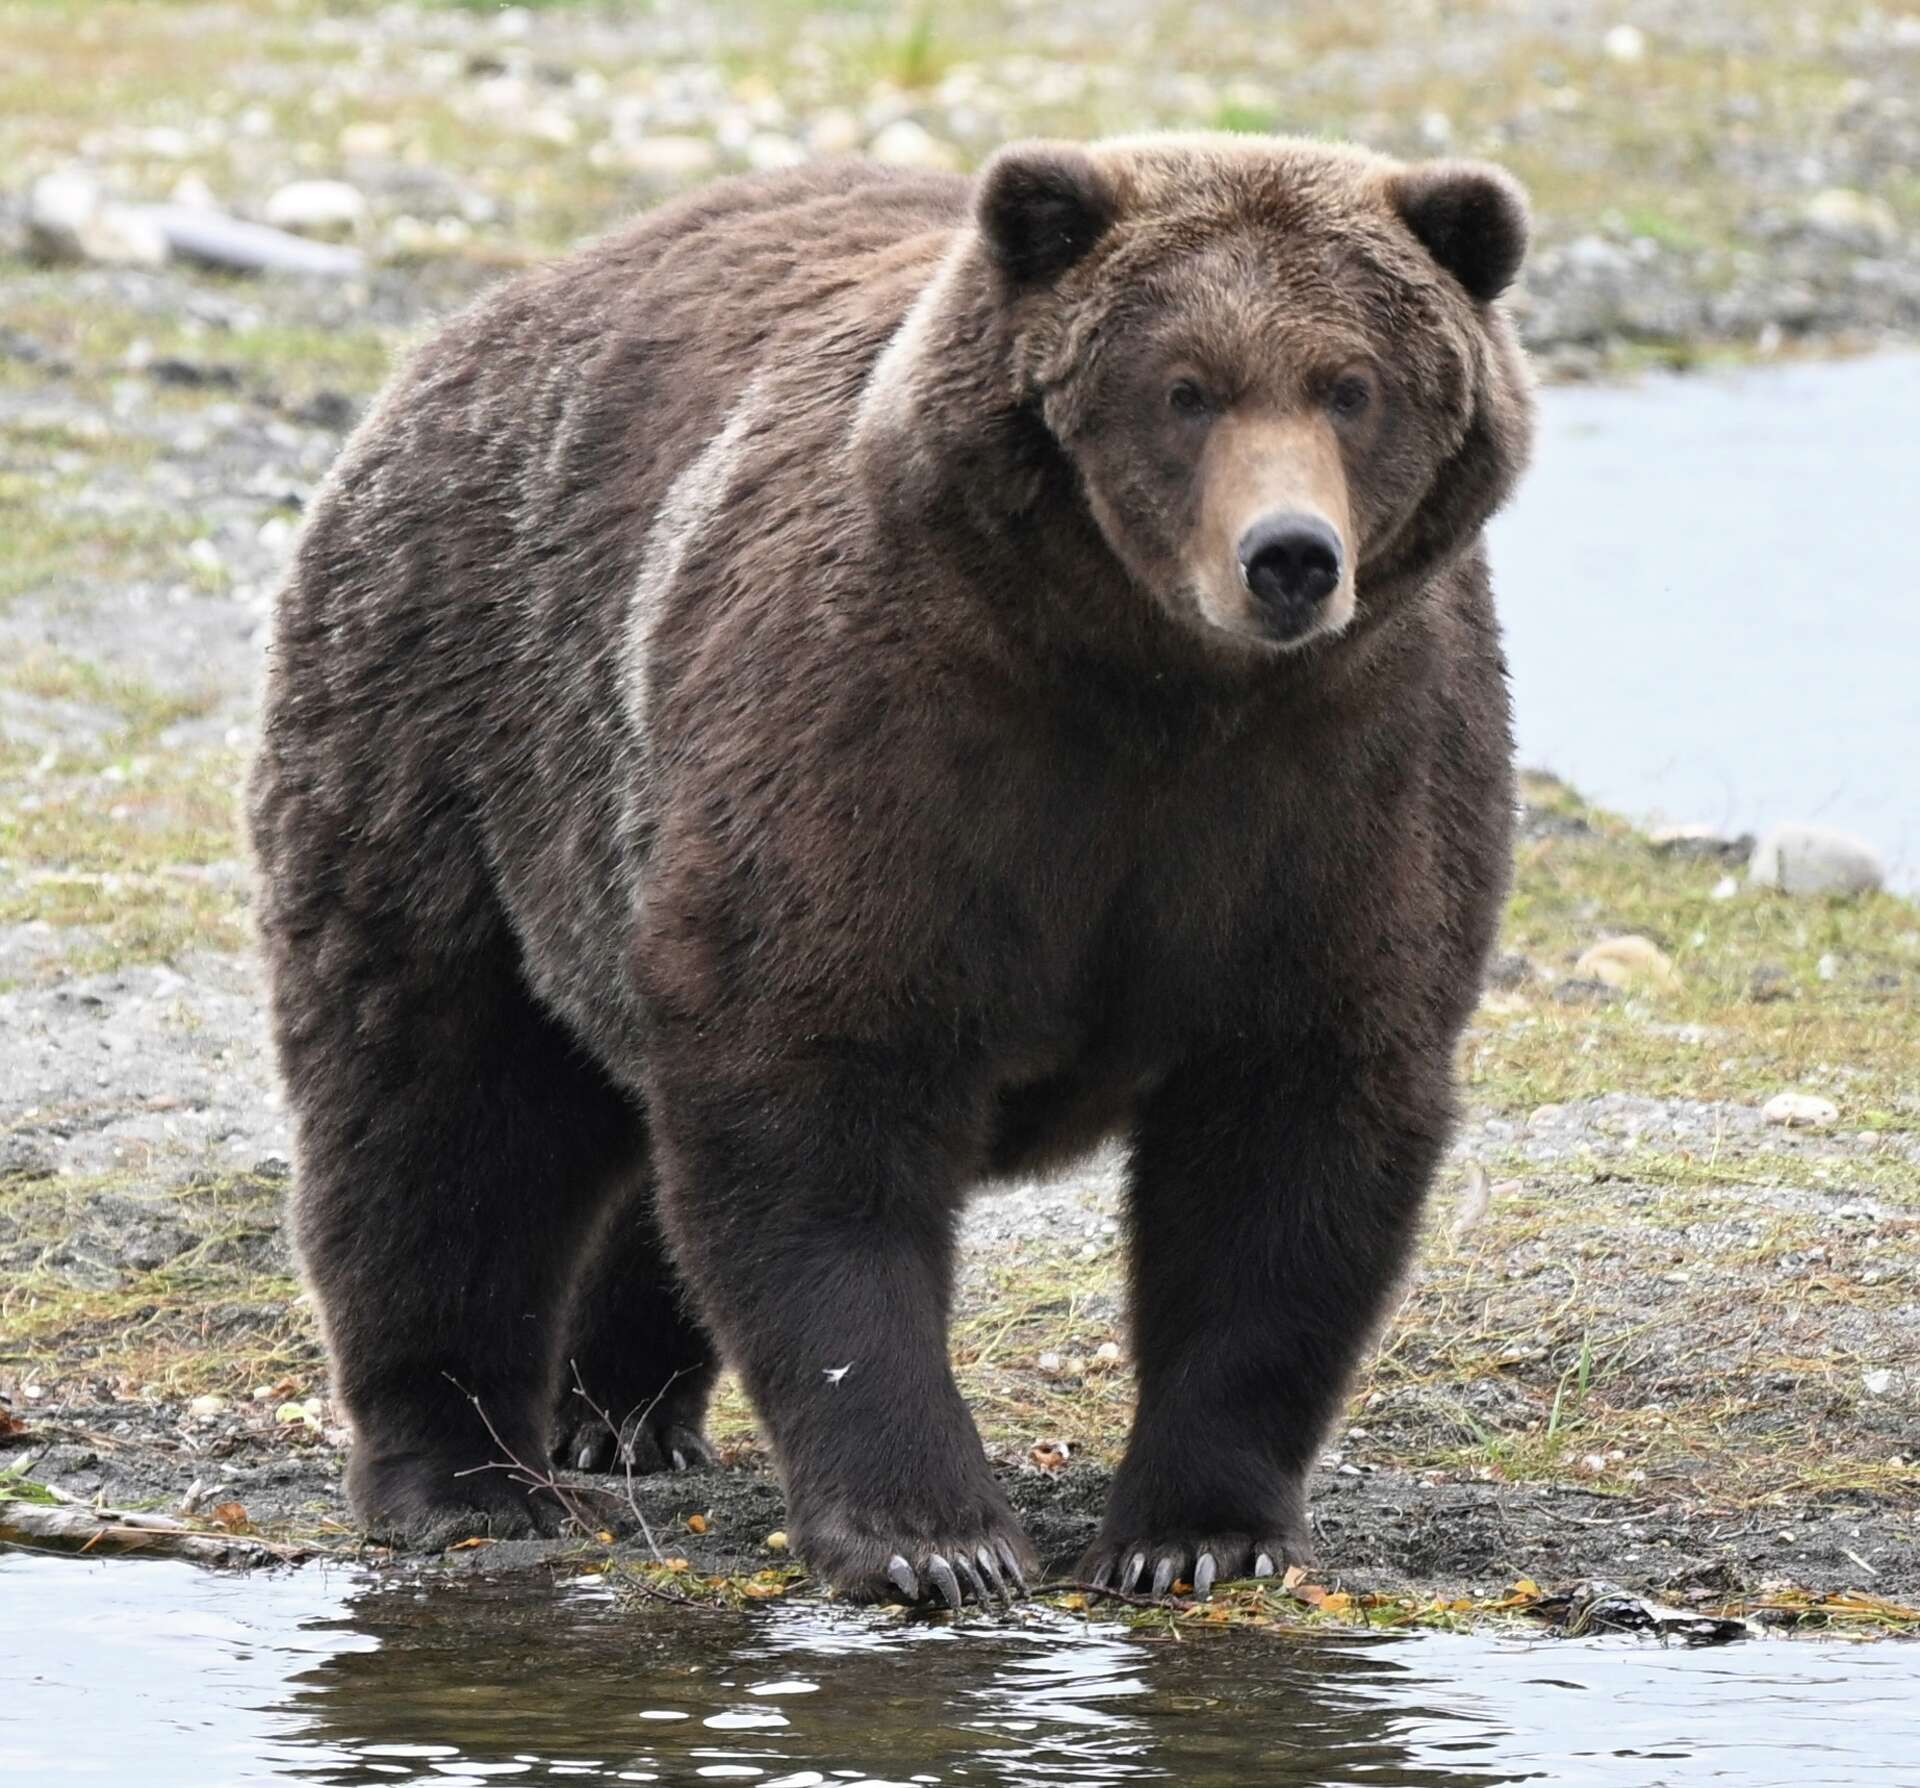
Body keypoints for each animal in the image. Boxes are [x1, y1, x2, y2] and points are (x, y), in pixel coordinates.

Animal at [247, 133, 1533, 1606]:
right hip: (457, 736)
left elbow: (1293, 1138)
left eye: (1352, 385)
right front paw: (936, 1537)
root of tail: (467, 332)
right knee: (437, 1104)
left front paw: (1195, 1534)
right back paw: (462, 1475)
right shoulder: (890, 740)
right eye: (1184, 388)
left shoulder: (1342, 782)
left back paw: (620, 1412)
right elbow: (820, 1098)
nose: (1289, 558)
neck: (1154, 686)